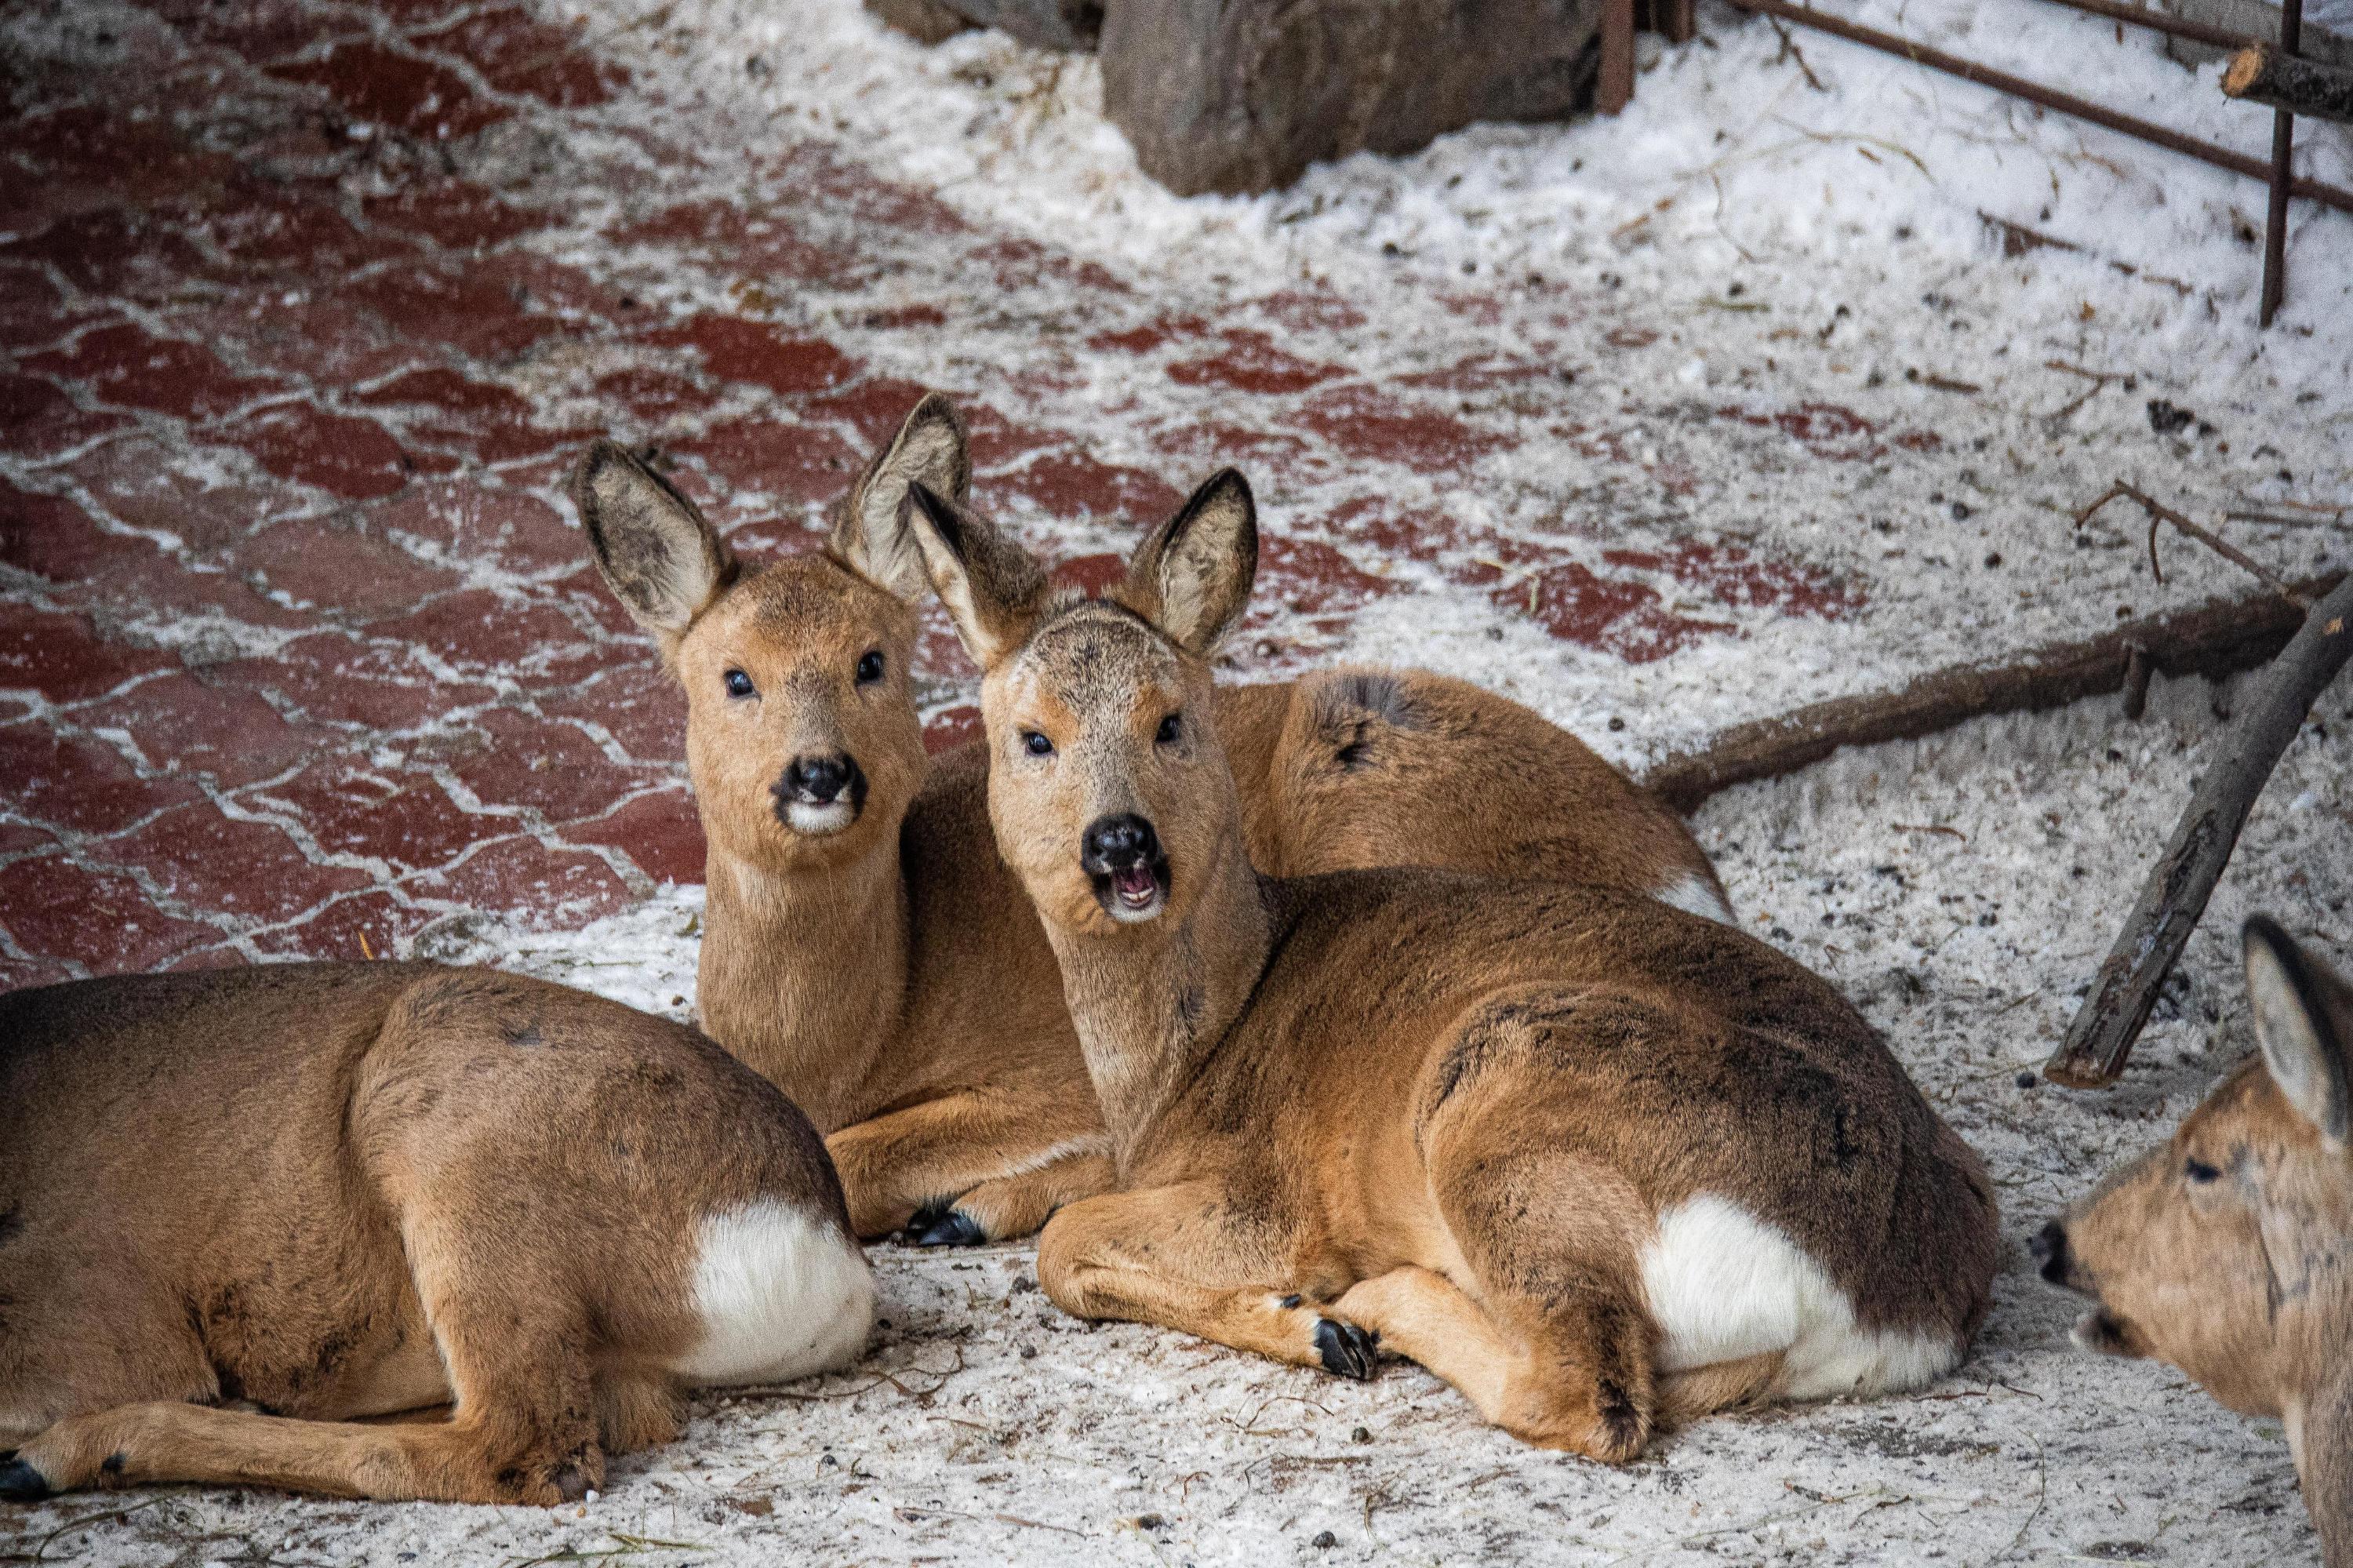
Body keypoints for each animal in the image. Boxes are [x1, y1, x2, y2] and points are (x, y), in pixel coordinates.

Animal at [579, 393, 1741, 1242]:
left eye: (873, 661)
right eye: (732, 676)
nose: (821, 773)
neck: (853, 1037)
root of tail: (1691, 882)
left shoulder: (1055, 1069)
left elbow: (856, 1157)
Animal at [889, 466, 1995, 1450]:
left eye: (1172, 721)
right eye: (1032, 738)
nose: (1121, 843)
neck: (1188, 1062)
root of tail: (1898, 1304)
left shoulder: (1271, 1193)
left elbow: (1066, 1246)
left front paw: (1317, 1322)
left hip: (1509, 1094)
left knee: (1583, 1391)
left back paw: (1379, 1300)